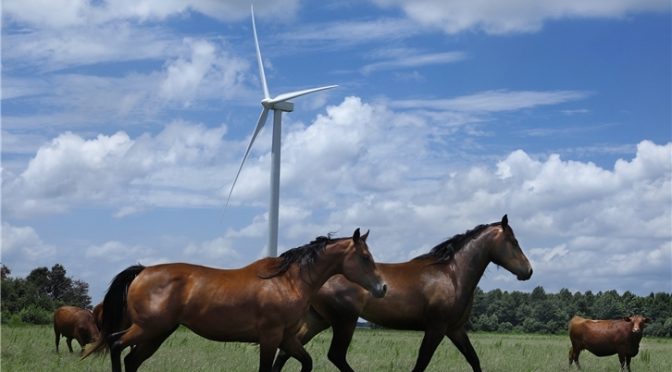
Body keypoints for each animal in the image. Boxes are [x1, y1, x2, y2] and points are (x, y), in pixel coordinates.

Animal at [82, 228, 388, 370]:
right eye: (365, 257)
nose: (382, 287)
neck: (286, 281)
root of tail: (143, 271)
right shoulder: (269, 337)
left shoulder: (287, 337)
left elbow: (306, 362)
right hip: (149, 328)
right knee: (116, 344)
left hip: (157, 333)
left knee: (131, 359)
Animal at [272, 215, 532, 372]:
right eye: (514, 241)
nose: (528, 271)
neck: (452, 275)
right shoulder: (436, 328)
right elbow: (422, 361)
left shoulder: (455, 329)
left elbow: (474, 359)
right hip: (344, 321)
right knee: (335, 355)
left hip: (318, 320)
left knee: (286, 351)